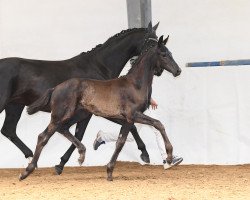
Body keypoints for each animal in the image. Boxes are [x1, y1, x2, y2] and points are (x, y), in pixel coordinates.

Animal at [0, 21, 159, 172]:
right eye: (153, 43)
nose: (157, 69)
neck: (98, 66)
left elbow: (80, 134)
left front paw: (62, 163)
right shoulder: (97, 112)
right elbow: (82, 134)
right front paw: (145, 154)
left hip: (15, 106)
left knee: (8, 130)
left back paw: (31, 157)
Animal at [19, 35, 180, 180]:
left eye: (171, 53)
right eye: (164, 54)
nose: (178, 71)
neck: (135, 84)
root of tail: (55, 88)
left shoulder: (128, 118)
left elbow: (124, 139)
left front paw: (109, 171)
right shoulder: (132, 115)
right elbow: (153, 126)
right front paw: (169, 157)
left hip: (76, 114)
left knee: (63, 129)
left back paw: (80, 155)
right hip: (61, 115)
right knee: (43, 136)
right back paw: (27, 171)